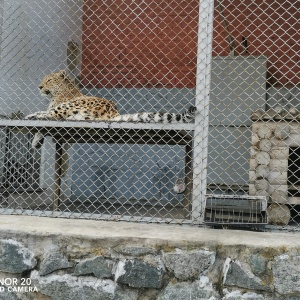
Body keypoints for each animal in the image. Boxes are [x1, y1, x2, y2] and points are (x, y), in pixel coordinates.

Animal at [25, 70, 197, 149]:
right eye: (43, 80)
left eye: (49, 80)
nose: (39, 86)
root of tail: (112, 113)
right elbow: (43, 116)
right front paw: (36, 141)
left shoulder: (59, 106)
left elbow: (47, 116)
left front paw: (35, 139)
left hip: (72, 106)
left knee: (51, 117)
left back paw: (31, 118)